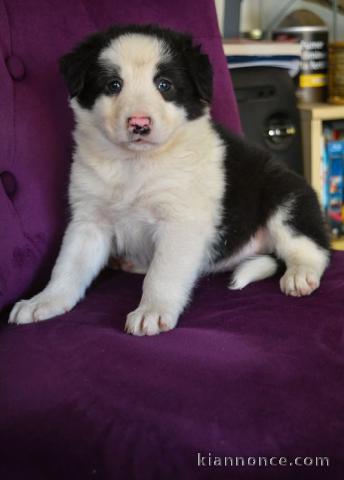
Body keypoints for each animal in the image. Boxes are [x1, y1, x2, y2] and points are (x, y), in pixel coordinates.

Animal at [8, 24, 330, 336]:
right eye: (113, 85)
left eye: (164, 85)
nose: (139, 124)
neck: (135, 164)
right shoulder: (89, 220)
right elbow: (68, 266)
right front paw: (44, 301)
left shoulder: (180, 222)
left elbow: (162, 273)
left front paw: (151, 311)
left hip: (284, 196)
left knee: (311, 248)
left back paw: (300, 275)